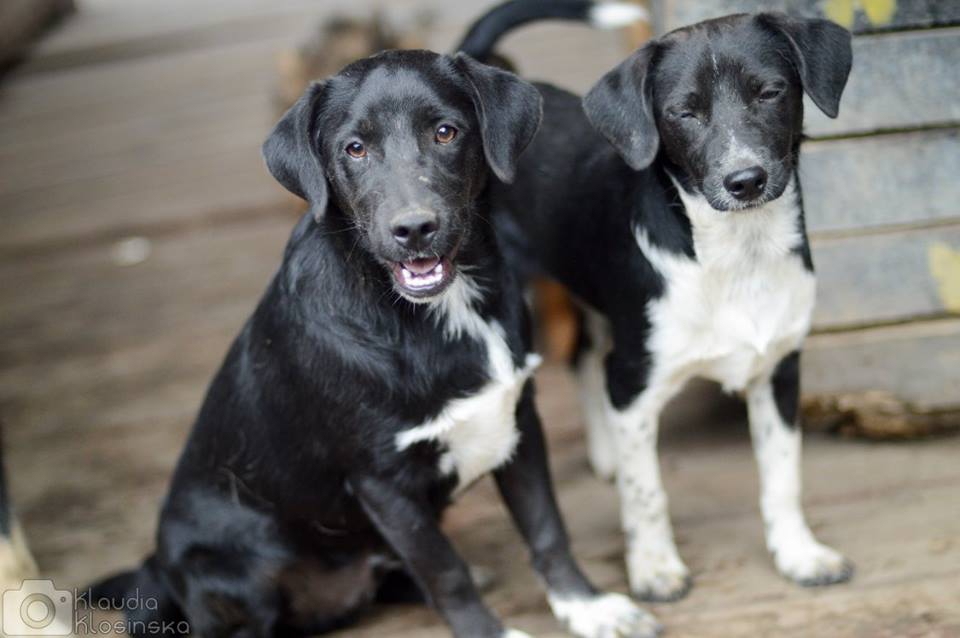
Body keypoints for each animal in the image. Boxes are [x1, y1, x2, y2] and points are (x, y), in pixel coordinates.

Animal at [90, 49, 660, 638]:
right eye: (355, 148)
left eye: (445, 132)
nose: (414, 228)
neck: (441, 312)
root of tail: (157, 569)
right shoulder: (383, 483)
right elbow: (446, 572)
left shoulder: (518, 426)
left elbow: (546, 528)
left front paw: (587, 606)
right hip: (237, 569)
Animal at [459, 1, 854, 601]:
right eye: (683, 112)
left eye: (770, 92)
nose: (745, 180)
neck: (738, 255)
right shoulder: (634, 382)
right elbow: (646, 492)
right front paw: (653, 567)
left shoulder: (779, 370)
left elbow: (783, 476)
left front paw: (799, 554)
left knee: (582, 356)